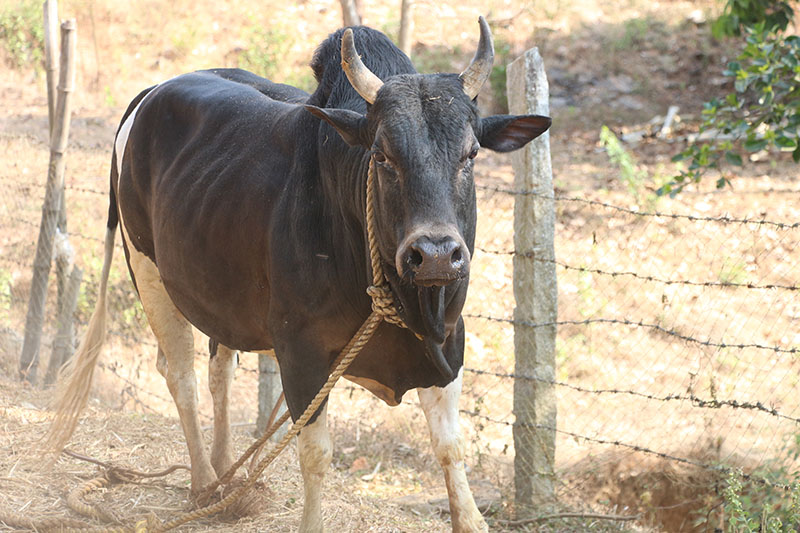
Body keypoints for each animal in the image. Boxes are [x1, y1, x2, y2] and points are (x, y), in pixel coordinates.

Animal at [48, 18, 552, 528]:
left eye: (471, 154)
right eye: (382, 155)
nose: (434, 255)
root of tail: (151, 92)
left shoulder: (448, 345)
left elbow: (450, 447)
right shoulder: (301, 354)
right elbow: (315, 454)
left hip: (220, 293)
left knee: (218, 370)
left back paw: (228, 477)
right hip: (147, 272)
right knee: (181, 377)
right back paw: (205, 482)